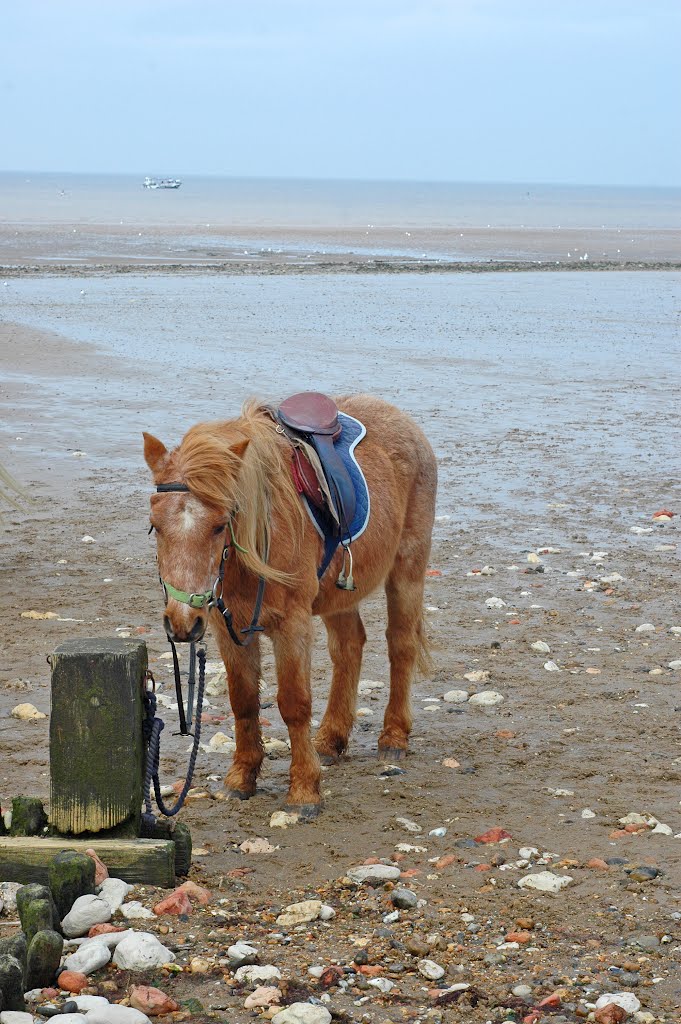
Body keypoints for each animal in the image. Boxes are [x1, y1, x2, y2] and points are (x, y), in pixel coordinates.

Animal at [146, 391, 438, 815]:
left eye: (219, 524)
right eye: (155, 526)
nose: (182, 623)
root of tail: (404, 421)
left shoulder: (292, 625)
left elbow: (294, 703)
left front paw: (303, 791)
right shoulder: (228, 629)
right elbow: (243, 700)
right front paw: (241, 778)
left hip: (407, 570)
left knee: (401, 645)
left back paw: (394, 738)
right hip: (338, 596)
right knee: (349, 647)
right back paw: (331, 740)